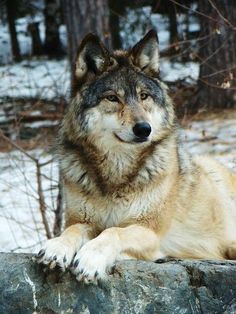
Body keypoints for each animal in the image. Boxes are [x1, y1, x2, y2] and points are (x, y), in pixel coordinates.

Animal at [37, 30, 236, 284]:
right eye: (112, 98)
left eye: (144, 96)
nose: (144, 129)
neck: (116, 174)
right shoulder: (83, 221)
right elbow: (72, 231)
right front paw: (57, 246)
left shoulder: (148, 231)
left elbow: (113, 232)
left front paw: (91, 258)